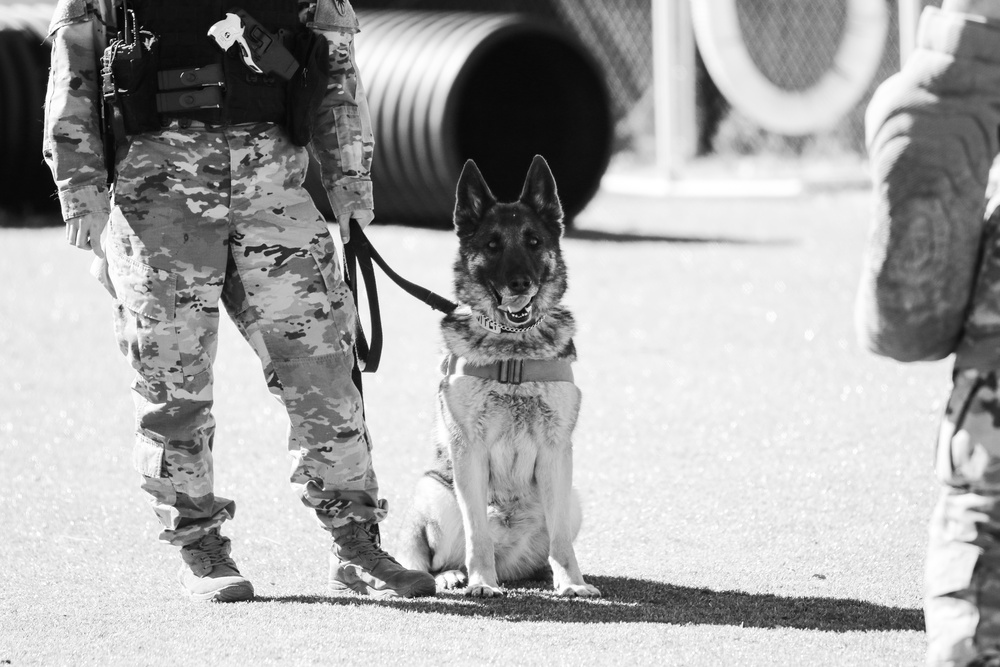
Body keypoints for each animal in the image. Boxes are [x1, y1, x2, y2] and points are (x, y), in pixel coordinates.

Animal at [392, 157, 596, 600]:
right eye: (491, 245)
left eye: (534, 242)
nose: (520, 283)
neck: (513, 350)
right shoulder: (468, 449)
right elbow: (477, 534)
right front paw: (481, 582)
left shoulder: (557, 451)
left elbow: (562, 541)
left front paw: (572, 582)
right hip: (433, 489)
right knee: (429, 560)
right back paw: (454, 576)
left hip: (573, 497)